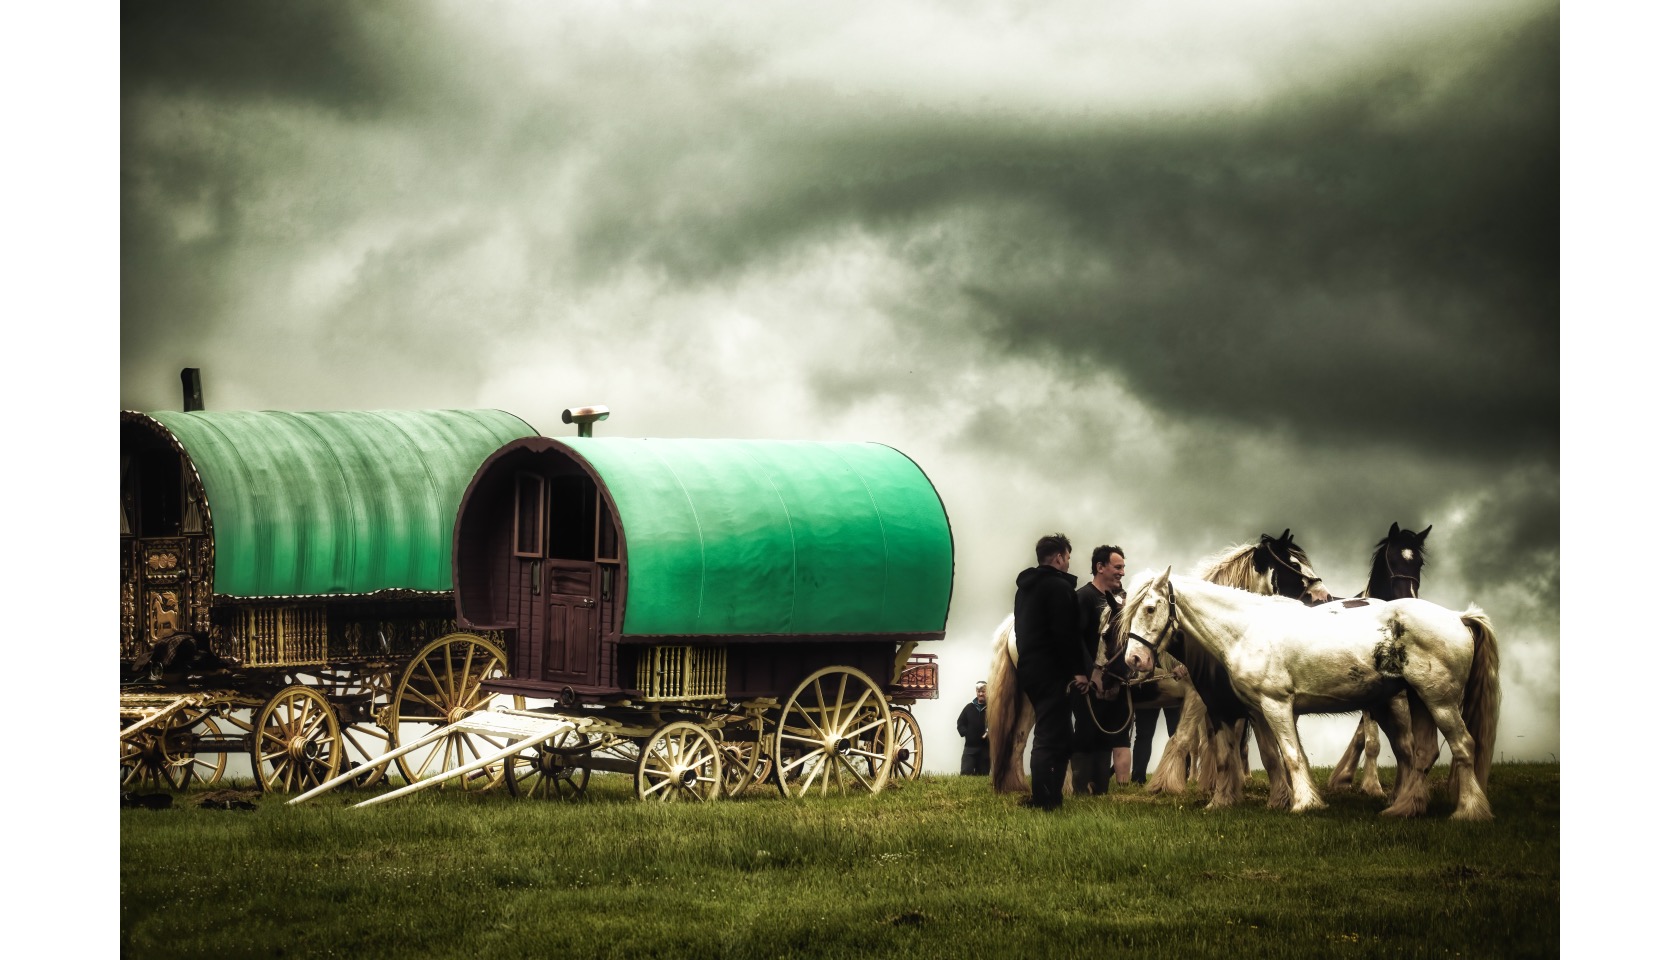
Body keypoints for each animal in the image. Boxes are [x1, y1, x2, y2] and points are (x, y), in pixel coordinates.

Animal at [1122, 568, 1505, 823]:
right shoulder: (1255, 711)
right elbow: (1269, 756)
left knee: (1462, 746)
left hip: (1439, 701)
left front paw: (1304, 803)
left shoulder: (1275, 704)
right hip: (1418, 700)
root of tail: (1459, 617)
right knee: (1422, 753)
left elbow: (1291, 756)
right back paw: (1403, 808)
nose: (1134, 660)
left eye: (1150, 608)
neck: (1247, 630)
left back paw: (1469, 811)